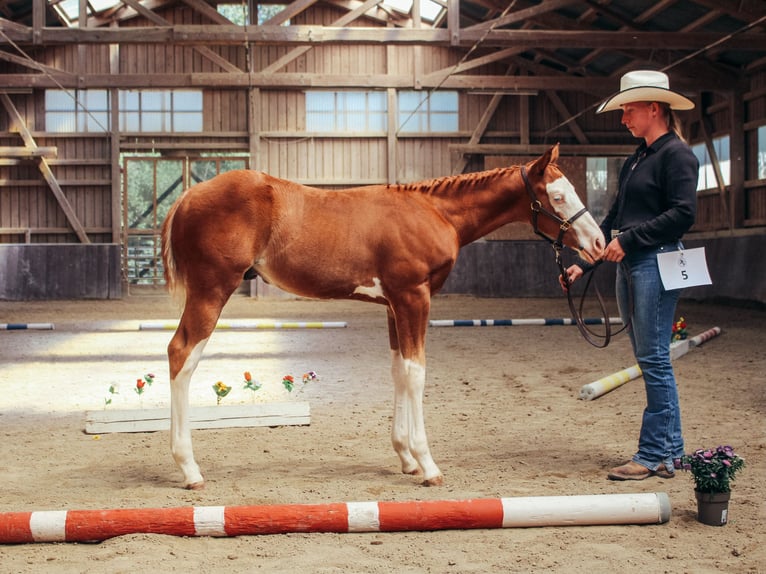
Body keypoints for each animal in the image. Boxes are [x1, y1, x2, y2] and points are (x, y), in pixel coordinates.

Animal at [161, 144, 605, 490]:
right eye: (558, 196)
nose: (599, 243)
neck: (434, 212)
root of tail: (186, 197)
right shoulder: (414, 297)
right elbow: (417, 372)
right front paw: (428, 464)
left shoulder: (395, 304)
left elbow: (399, 371)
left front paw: (406, 458)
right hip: (211, 291)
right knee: (182, 354)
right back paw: (189, 469)